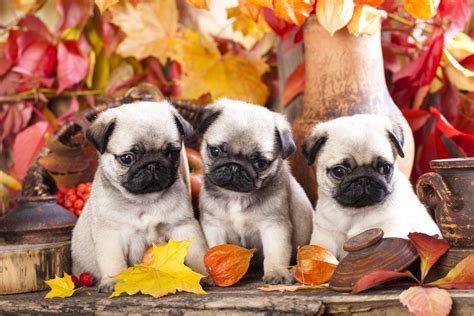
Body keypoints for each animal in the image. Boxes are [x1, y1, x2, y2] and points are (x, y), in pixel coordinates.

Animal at [71, 101, 208, 292]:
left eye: (173, 153)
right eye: (127, 158)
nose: (153, 164)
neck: (144, 200)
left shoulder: (183, 226)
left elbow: (196, 252)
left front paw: (201, 274)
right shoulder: (111, 234)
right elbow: (114, 261)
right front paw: (114, 281)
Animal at [197, 98, 314, 284]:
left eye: (260, 163)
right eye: (215, 151)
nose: (235, 166)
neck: (236, 196)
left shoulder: (274, 226)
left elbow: (275, 254)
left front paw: (276, 274)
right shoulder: (215, 226)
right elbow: (215, 249)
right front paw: (211, 273)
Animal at [304, 115, 440, 258]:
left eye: (386, 168)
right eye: (339, 171)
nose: (363, 178)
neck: (354, 213)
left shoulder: (390, 229)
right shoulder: (325, 235)